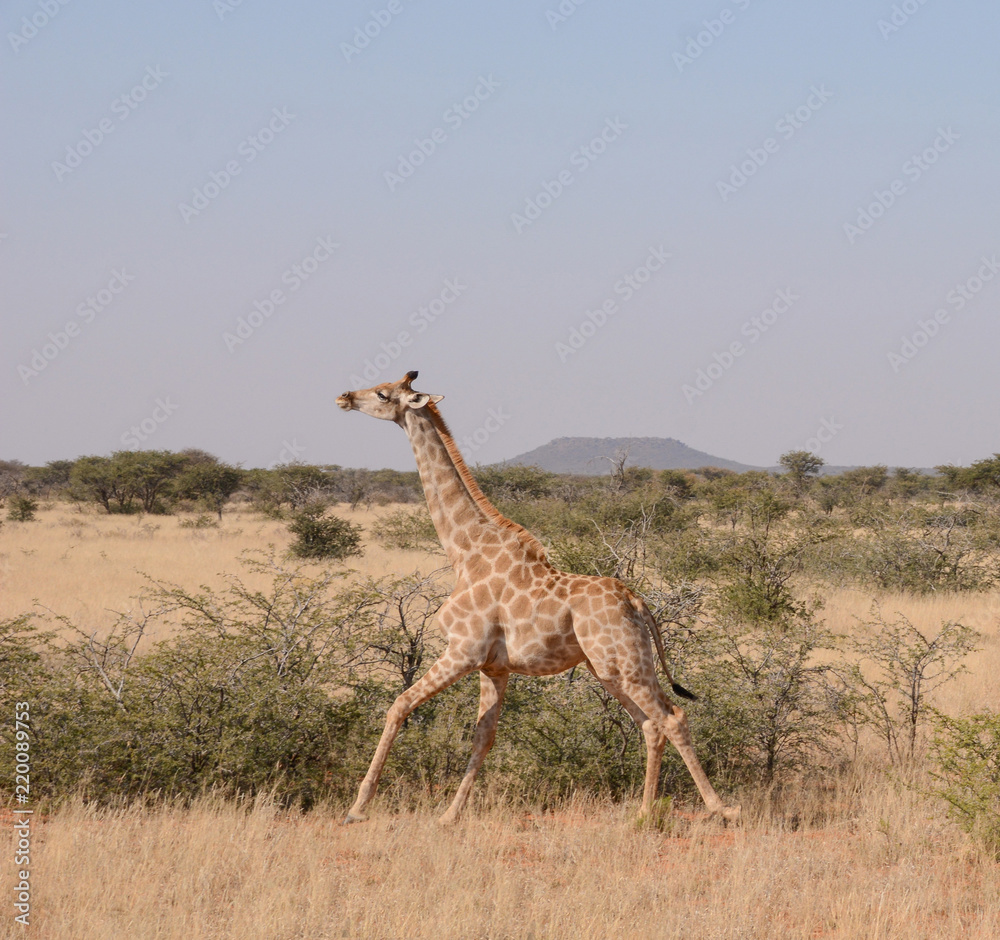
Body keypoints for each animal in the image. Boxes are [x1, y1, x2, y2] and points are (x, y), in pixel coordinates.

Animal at [336, 371, 739, 825]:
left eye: (383, 393)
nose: (344, 397)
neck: (464, 552)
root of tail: (638, 603)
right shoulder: (494, 666)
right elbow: (483, 736)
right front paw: (450, 815)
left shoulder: (462, 650)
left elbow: (398, 705)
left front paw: (357, 808)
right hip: (611, 668)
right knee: (651, 725)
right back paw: (641, 813)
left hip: (625, 666)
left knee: (673, 717)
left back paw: (720, 807)